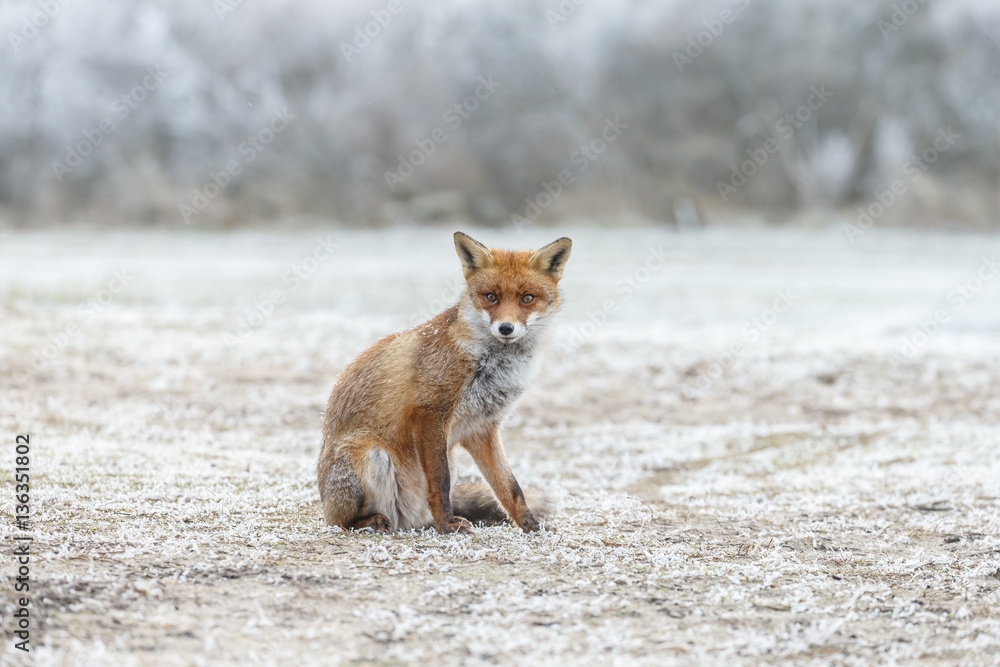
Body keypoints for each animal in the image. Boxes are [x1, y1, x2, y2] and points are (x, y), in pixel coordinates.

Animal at [317, 232, 572, 534]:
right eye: (491, 297)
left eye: (527, 298)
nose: (506, 328)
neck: (492, 365)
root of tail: (407, 520)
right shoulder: (430, 412)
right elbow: (441, 482)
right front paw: (447, 526)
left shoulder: (482, 429)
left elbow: (510, 487)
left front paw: (530, 525)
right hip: (371, 457)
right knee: (340, 521)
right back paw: (373, 521)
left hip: (446, 458)